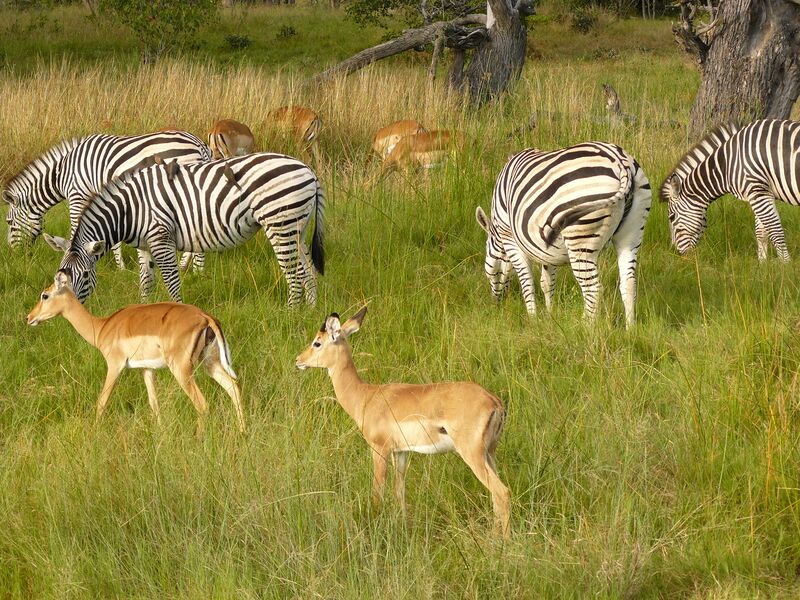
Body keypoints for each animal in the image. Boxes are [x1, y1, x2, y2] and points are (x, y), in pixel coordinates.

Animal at [2, 130, 211, 281]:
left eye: (9, 222)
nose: (14, 254)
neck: (62, 172)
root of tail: (200, 145)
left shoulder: (77, 195)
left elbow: (75, 229)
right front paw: (121, 268)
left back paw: (197, 271)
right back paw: (187, 268)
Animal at [44, 153, 325, 307]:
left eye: (84, 276)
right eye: (59, 276)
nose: (66, 312)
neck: (130, 210)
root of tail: (308, 170)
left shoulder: (161, 239)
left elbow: (171, 283)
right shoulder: (145, 245)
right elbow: (146, 282)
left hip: (279, 223)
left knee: (295, 275)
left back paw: (290, 314)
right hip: (297, 228)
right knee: (309, 271)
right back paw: (309, 314)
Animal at [476, 142, 652, 328]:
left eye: (489, 268)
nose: (496, 305)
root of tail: (620, 162)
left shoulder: (509, 238)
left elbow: (527, 282)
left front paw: (533, 320)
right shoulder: (545, 250)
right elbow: (547, 283)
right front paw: (549, 317)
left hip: (580, 240)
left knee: (593, 289)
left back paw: (585, 328)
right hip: (632, 233)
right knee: (629, 284)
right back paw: (630, 329)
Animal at [661, 119, 800, 262]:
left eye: (672, 217)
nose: (677, 254)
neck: (727, 165)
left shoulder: (757, 191)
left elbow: (775, 231)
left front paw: (785, 264)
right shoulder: (761, 192)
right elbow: (761, 232)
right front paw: (762, 264)